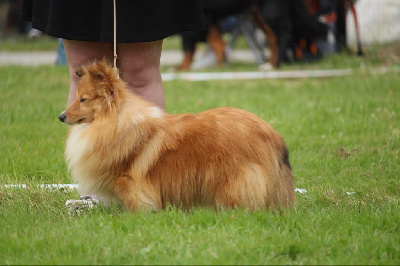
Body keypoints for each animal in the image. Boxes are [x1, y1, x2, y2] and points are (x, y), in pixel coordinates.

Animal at [59, 60, 296, 212]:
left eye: (83, 99)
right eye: (77, 97)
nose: (61, 116)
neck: (115, 121)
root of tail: (272, 134)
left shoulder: (130, 182)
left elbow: (137, 204)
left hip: (235, 179)